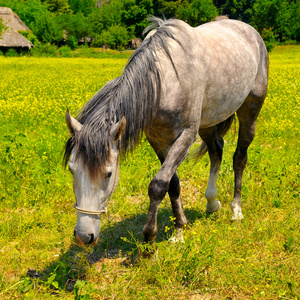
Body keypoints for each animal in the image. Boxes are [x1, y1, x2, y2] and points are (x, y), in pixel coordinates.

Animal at [64, 17, 268, 246]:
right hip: (207, 123)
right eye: (72, 169)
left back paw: (236, 210)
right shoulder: (158, 140)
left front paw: (149, 238)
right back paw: (212, 202)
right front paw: (179, 229)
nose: (84, 236)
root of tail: (250, 31)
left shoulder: (186, 136)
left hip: (250, 110)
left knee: (239, 158)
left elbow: (158, 185)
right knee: (216, 151)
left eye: (108, 173)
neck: (162, 83)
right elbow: (173, 184)